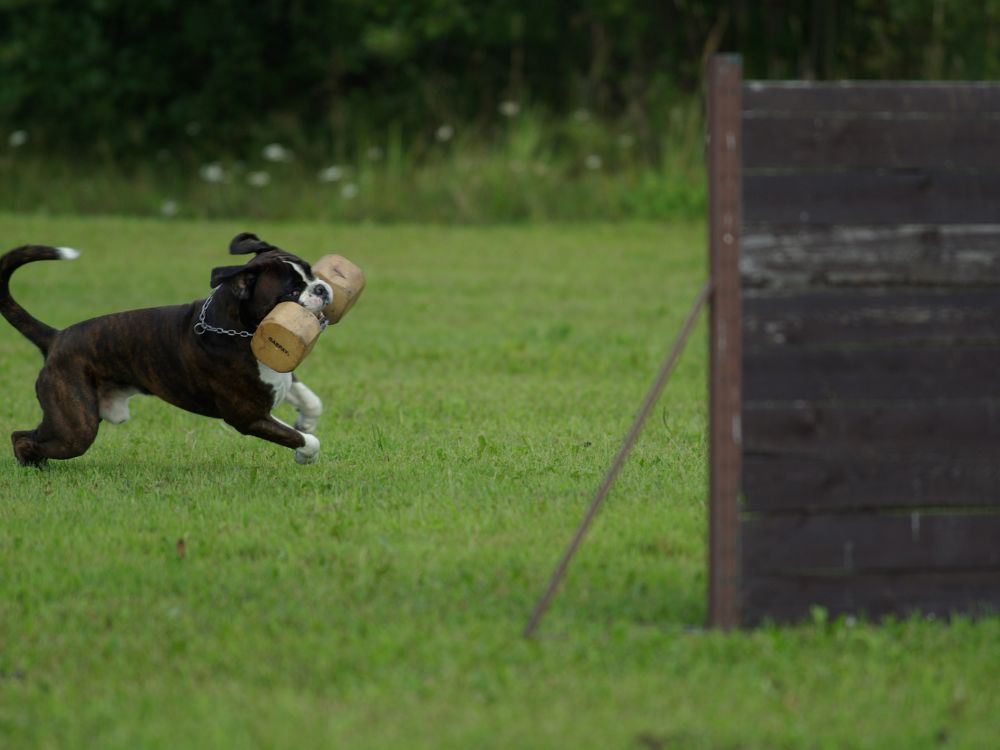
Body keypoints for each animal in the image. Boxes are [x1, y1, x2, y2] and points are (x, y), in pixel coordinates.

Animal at [0, 232, 336, 468]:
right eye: (292, 290)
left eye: (310, 272)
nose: (321, 287)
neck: (240, 329)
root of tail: (56, 338)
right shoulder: (249, 417)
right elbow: (306, 440)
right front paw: (304, 453)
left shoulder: (277, 375)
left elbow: (310, 400)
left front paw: (306, 420)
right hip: (76, 428)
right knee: (21, 438)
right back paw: (32, 465)